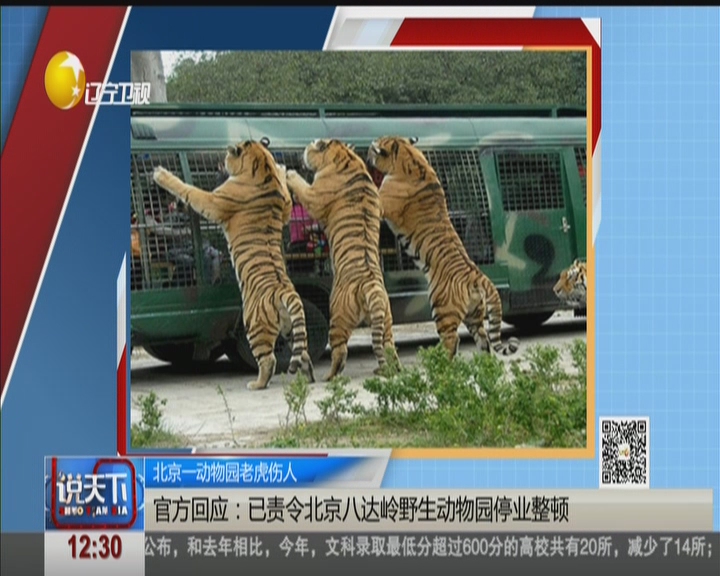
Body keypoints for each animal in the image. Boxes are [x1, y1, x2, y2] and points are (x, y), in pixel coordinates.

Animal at [152, 138, 316, 392]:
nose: (221, 163)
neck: (262, 168)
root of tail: (285, 291)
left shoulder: (214, 200)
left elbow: (189, 190)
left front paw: (161, 174)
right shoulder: (285, 208)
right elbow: (287, 198)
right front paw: (283, 170)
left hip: (253, 325)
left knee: (269, 359)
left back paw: (257, 384)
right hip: (291, 327)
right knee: (304, 353)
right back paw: (308, 378)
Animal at [286, 138, 400, 382]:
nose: (302, 152)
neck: (345, 156)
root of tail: (371, 286)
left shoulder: (314, 195)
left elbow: (301, 186)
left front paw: (288, 173)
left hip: (337, 316)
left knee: (340, 351)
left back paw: (329, 376)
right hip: (386, 319)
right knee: (388, 347)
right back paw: (391, 370)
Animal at [368, 137, 520, 358]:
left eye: (373, 148)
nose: (367, 155)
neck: (409, 156)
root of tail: (478, 276)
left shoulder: (382, 202)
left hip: (442, 309)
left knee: (452, 339)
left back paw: (440, 360)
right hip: (474, 315)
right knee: (484, 340)